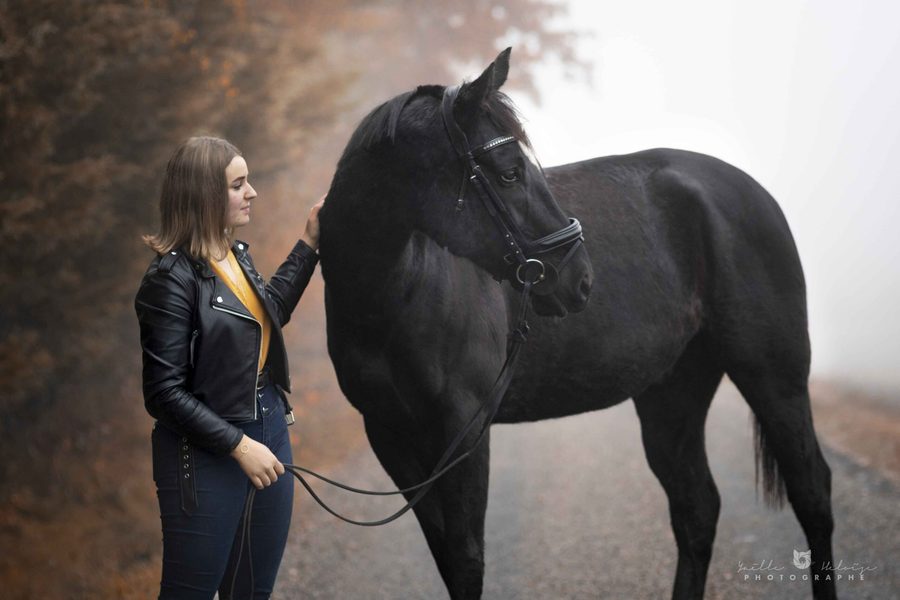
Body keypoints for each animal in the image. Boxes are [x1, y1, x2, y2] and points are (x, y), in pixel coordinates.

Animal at [318, 48, 835, 600]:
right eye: (509, 172)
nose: (579, 277)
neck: (397, 295)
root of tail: (755, 193)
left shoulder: (464, 427)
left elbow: (466, 559)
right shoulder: (390, 436)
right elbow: (447, 557)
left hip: (773, 377)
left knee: (812, 493)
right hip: (673, 391)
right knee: (697, 509)